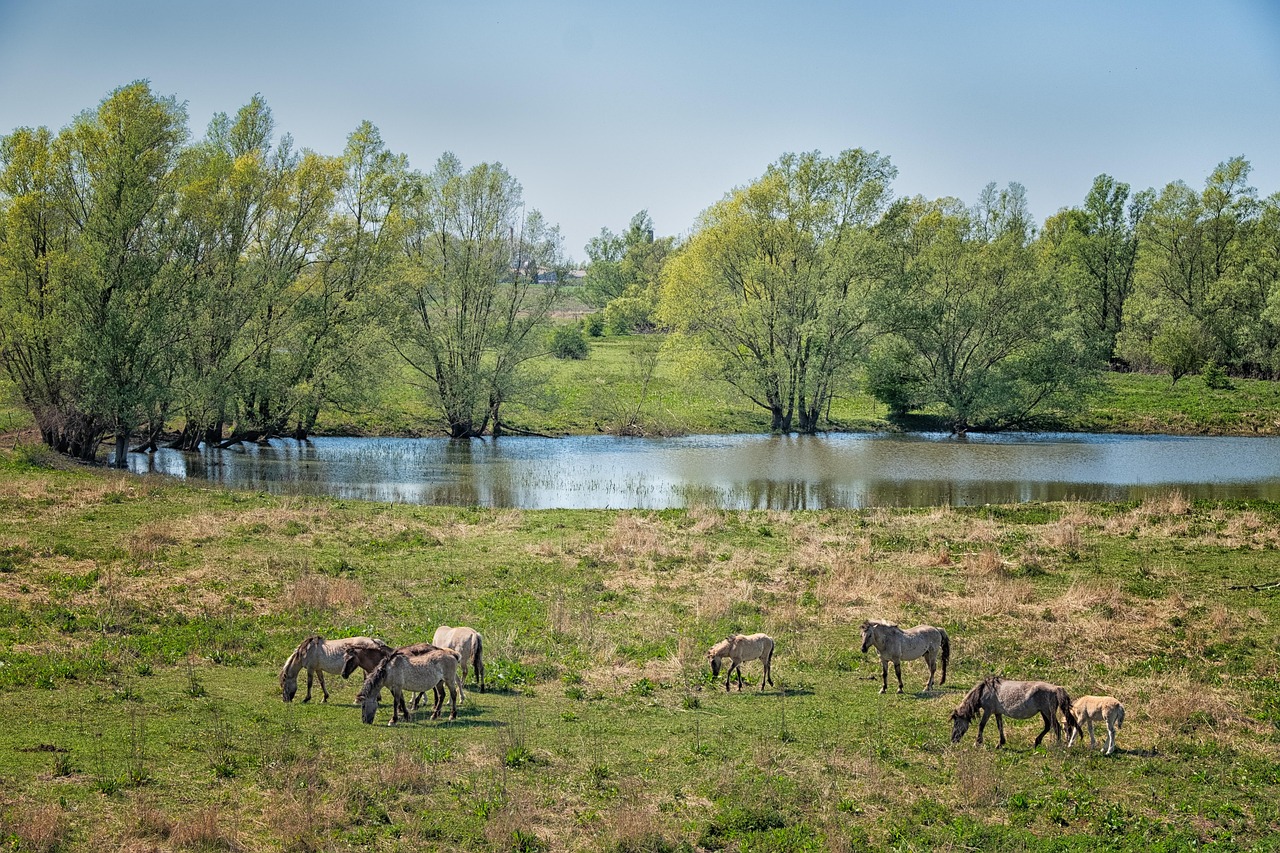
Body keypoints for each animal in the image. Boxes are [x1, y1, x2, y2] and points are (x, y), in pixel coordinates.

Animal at [950, 675, 1079, 748]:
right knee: (1048, 726)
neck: (984, 691)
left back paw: (1057, 745)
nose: (953, 740)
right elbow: (1000, 726)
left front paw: (977, 743)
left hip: (1047, 711)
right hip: (1043, 712)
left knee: (1056, 726)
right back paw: (1037, 742)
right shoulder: (997, 712)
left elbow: (981, 725)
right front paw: (1000, 743)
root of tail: (1056, 688)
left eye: (956, 722)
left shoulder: (988, 711)